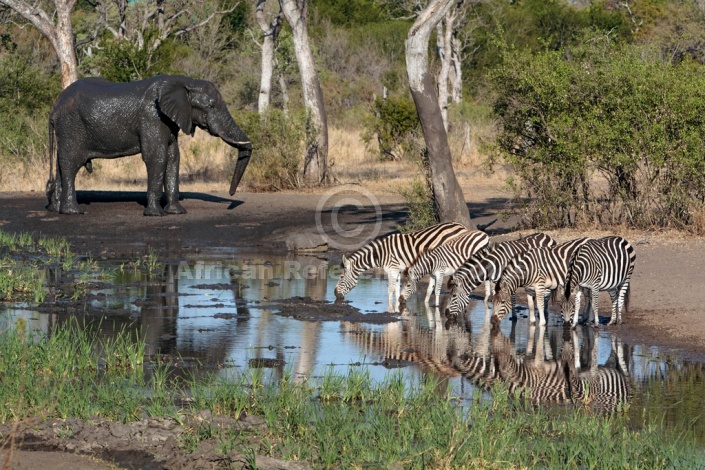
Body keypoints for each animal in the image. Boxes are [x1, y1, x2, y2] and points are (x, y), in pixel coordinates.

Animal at [46, 74, 253, 216]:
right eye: (210, 106)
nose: (231, 194)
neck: (184, 81)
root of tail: (55, 106)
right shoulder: (152, 117)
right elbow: (157, 157)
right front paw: (156, 215)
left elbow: (173, 158)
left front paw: (177, 212)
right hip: (71, 127)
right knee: (70, 165)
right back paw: (73, 211)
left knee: (60, 166)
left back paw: (55, 210)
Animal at [334, 223, 470, 312]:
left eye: (341, 277)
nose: (335, 294)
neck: (381, 254)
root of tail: (461, 226)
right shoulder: (397, 270)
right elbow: (397, 290)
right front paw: (397, 306)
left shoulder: (392, 270)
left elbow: (390, 290)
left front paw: (390, 308)